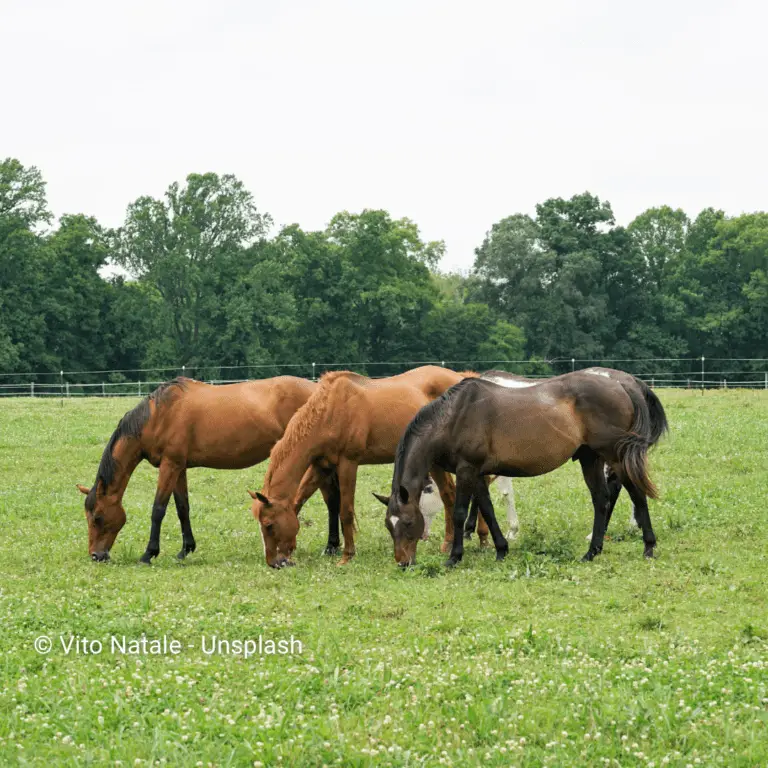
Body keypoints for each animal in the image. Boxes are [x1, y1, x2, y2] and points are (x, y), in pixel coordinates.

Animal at [78, 378, 328, 564]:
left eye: (98, 517)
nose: (96, 555)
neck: (159, 415)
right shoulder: (179, 468)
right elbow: (182, 508)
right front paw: (185, 549)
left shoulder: (169, 465)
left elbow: (158, 509)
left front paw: (149, 554)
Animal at [246, 364, 486, 568]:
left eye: (268, 524)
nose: (274, 562)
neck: (331, 410)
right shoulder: (321, 467)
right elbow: (300, 501)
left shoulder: (348, 464)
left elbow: (345, 511)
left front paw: (347, 555)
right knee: (450, 495)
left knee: (453, 494)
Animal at [378, 368, 664, 568]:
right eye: (389, 526)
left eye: (407, 522)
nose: (403, 562)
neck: (453, 417)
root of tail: (623, 384)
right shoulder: (477, 474)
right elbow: (487, 509)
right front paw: (501, 549)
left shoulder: (466, 470)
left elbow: (460, 512)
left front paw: (454, 557)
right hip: (590, 458)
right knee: (601, 500)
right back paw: (592, 552)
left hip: (615, 456)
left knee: (635, 493)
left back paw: (648, 547)